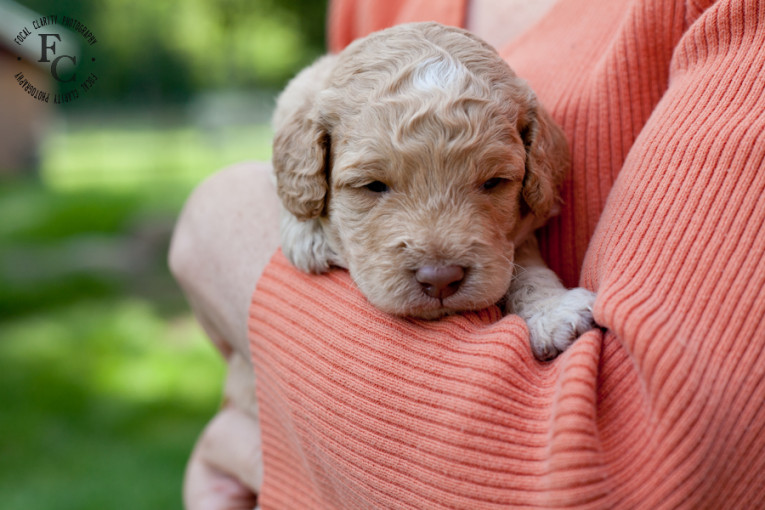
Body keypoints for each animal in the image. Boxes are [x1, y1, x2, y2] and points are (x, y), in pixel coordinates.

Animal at [272, 22, 592, 358]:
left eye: (493, 182)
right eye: (373, 186)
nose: (440, 280)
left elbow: (525, 258)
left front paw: (551, 308)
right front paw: (308, 234)